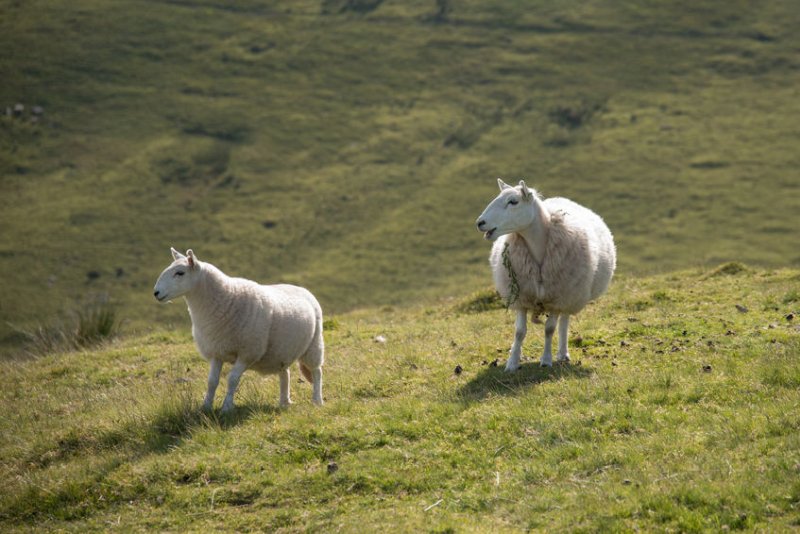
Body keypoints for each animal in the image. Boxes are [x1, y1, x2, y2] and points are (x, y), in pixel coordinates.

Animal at [153, 249, 322, 412]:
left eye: (180, 273)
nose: (156, 293)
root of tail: (301, 288)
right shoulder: (216, 351)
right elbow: (212, 381)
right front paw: (206, 406)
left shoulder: (247, 352)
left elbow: (232, 379)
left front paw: (227, 407)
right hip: (280, 352)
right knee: (285, 374)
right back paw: (284, 402)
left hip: (314, 344)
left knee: (316, 372)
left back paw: (317, 400)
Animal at [476, 180, 620, 372]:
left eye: (513, 201)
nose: (480, 222)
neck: (538, 248)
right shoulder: (521, 297)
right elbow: (519, 332)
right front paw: (512, 363)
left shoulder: (557, 298)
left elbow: (549, 329)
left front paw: (546, 360)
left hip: (570, 293)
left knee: (564, 323)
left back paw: (563, 353)